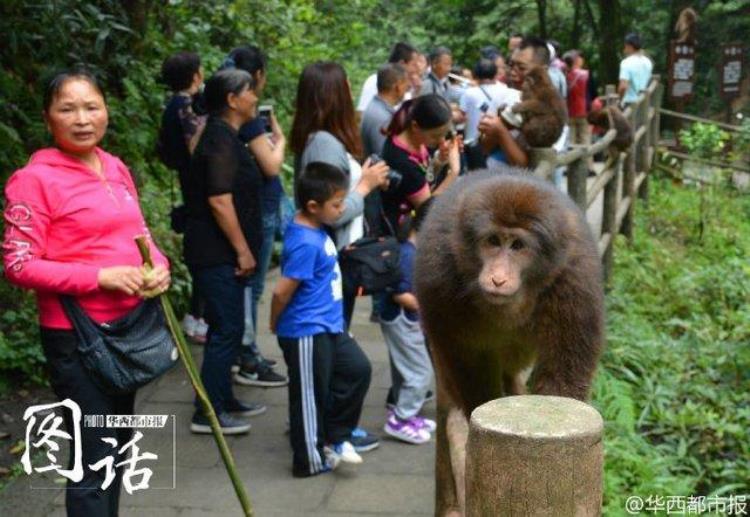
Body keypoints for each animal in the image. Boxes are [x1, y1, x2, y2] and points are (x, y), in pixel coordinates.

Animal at [414, 169, 608, 516]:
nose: (498, 277)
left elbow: (562, 376)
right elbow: (465, 359)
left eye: (517, 245)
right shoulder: (441, 278)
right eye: (493, 242)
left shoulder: (574, 280)